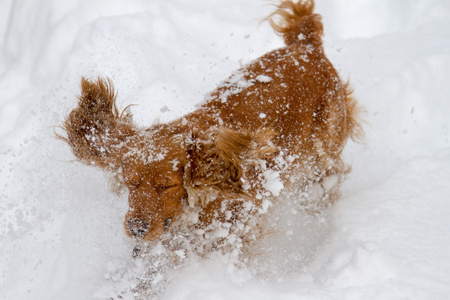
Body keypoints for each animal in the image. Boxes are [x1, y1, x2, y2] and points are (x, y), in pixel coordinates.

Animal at [60, 1, 362, 246]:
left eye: (166, 186)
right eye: (131, 183)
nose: (136, 228)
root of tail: (306, 46)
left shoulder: (229, 231)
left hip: (322, 155)